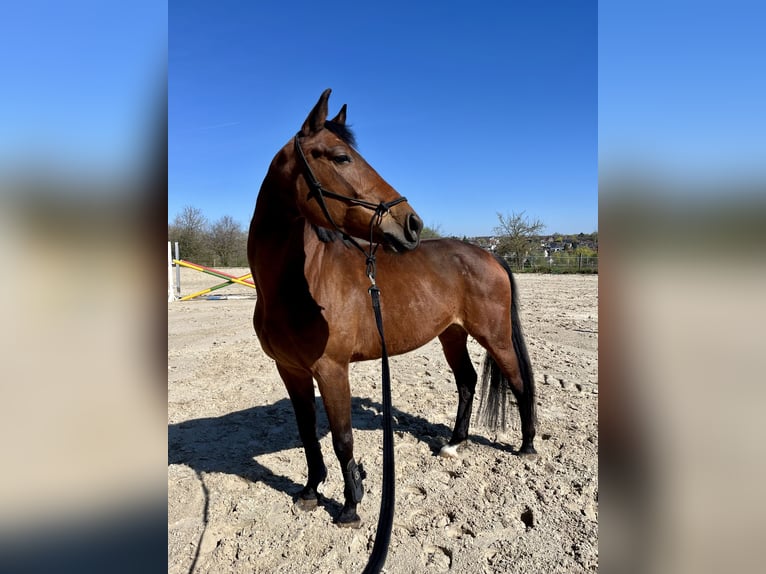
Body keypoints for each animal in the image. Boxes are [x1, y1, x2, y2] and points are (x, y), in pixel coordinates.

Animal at [247, 89, 536, 528]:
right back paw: (454, 444)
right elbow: (307, 432)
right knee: (467, 382)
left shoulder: (332, 370)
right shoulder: (291, 370)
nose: (412, 223)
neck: (300, 283)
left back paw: (527, 447)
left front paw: (350, 505)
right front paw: (310, 491)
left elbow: (342, 437)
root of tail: (488, 254)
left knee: (518, 381)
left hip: (495, 335)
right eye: (341, 157)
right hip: (452, 334)